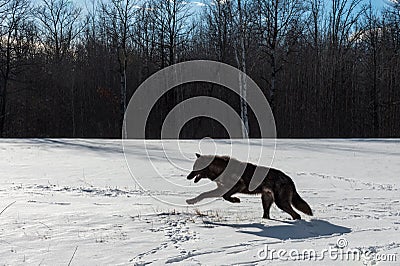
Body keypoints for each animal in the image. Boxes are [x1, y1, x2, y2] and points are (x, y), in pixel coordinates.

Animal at [186, 153, 314, 219]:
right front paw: (191, 201)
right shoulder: (221, 188)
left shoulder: (238, 185)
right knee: (267, 215)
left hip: (280, 202)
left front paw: (235, 200)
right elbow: (204, 194)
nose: (188, 177)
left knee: (297, 215)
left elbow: (225, 196)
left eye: (195, 168)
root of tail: (290, 179)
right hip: (266, 201)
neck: (220, 169)